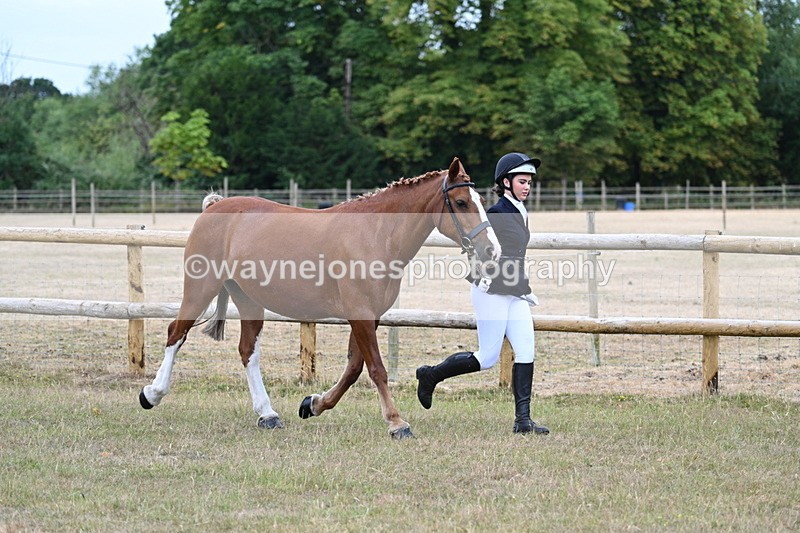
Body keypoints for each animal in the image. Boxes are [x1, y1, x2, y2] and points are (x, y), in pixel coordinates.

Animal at [138, 157, 500, 439]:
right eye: (462, 202)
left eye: (481, 201)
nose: (490, 250)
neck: (376, 235)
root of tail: (215, 207)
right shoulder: (360, 313)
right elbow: (376, 369)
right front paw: (397, 423)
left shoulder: (369, 317)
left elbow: (354, 369)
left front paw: (313, 404)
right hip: (200, 288)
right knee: (175, 333)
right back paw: (152, 394)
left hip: (248, 300)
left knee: (247, 351)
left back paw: (268, 414)